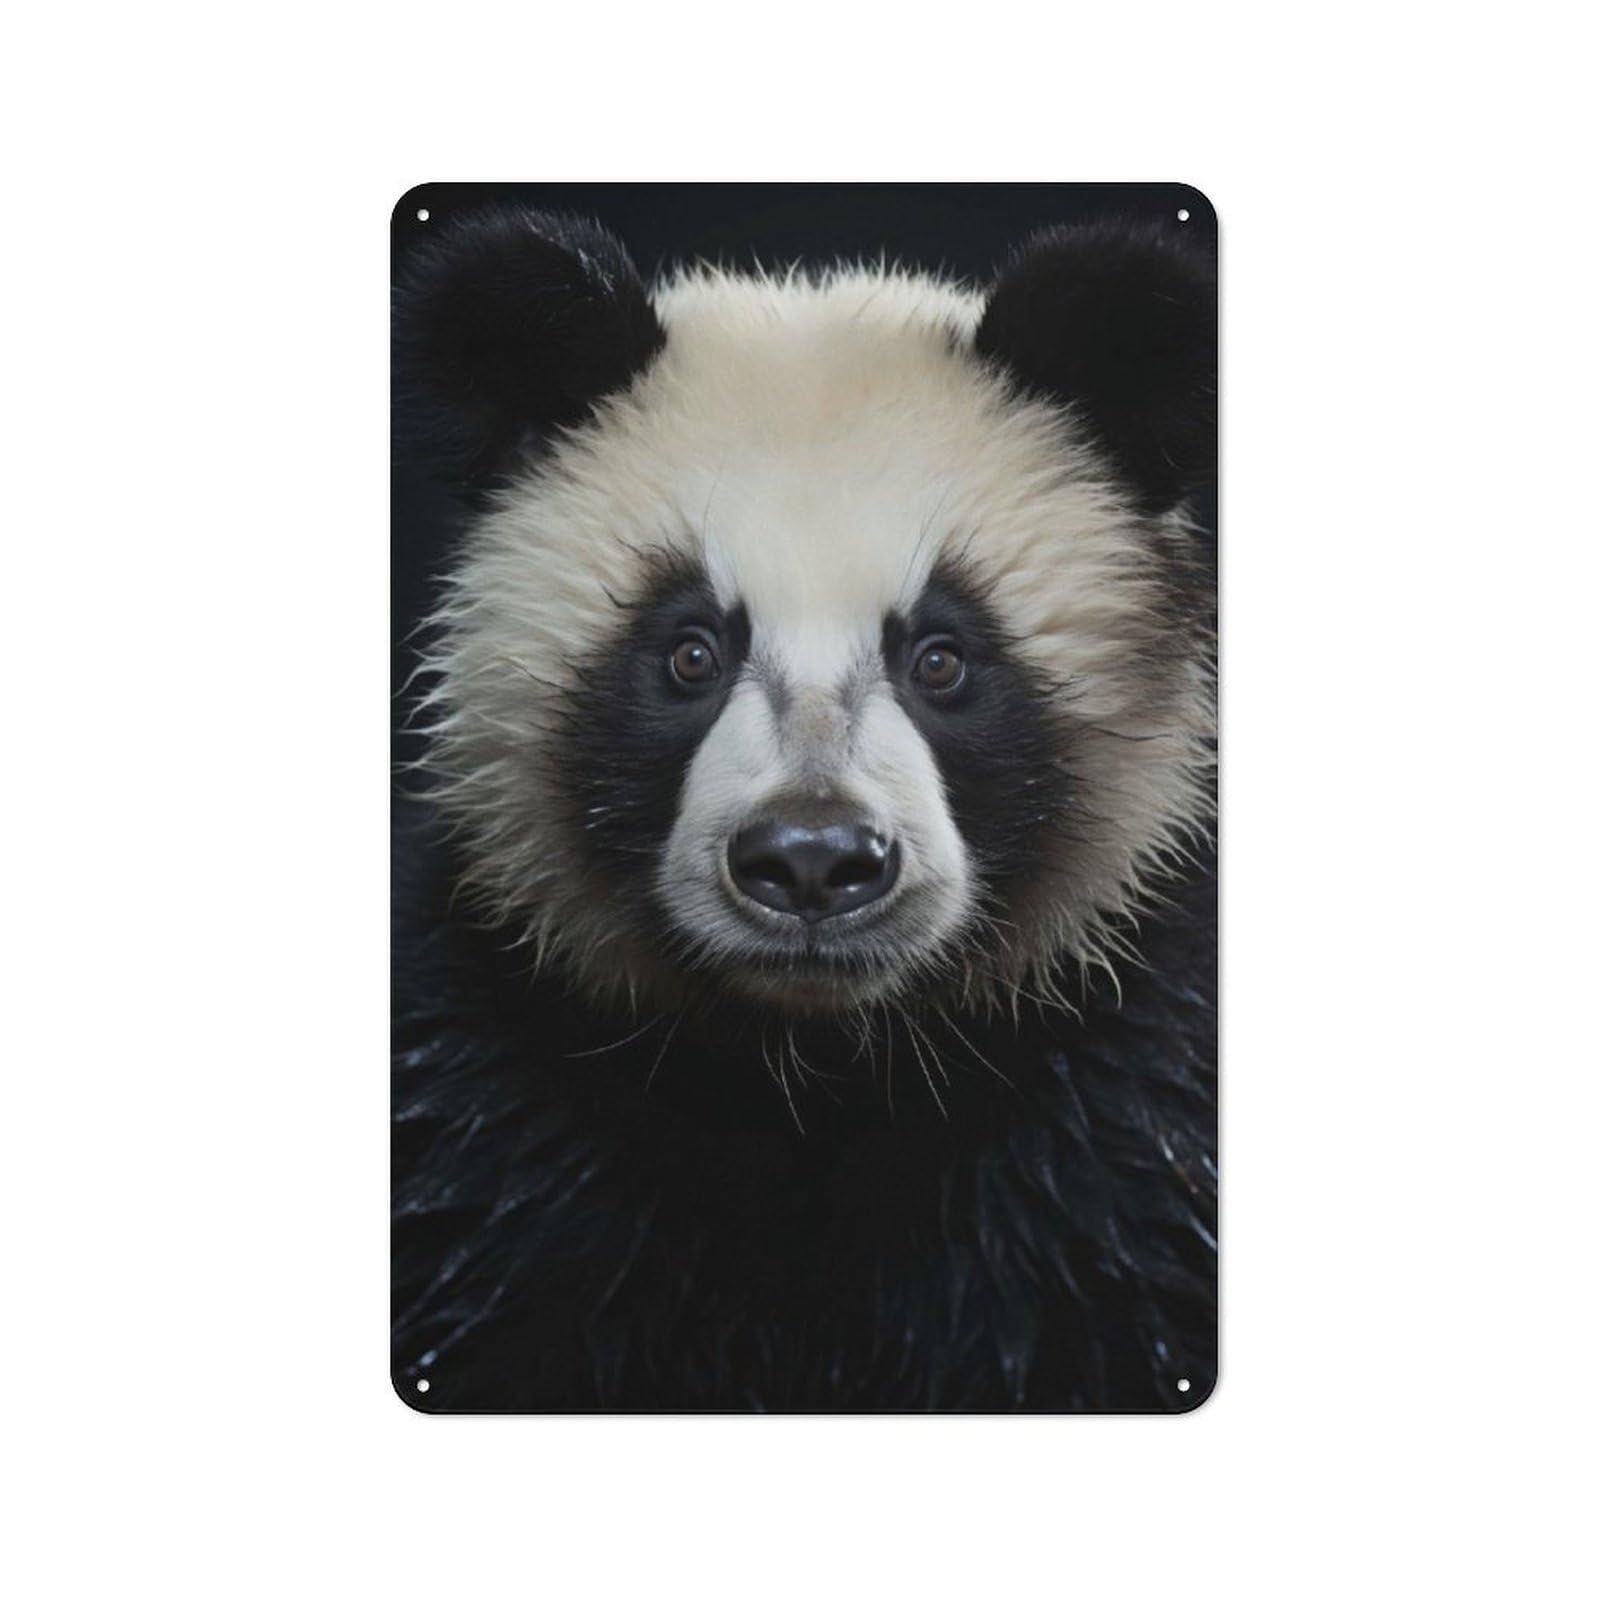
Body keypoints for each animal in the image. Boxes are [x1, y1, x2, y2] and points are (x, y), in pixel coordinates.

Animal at [392, 204, 1217, 1413]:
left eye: (941, 658)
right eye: (689, 651)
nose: (815, 861)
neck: (818, 1074)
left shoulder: (1127, 1115)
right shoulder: (487, 1103)